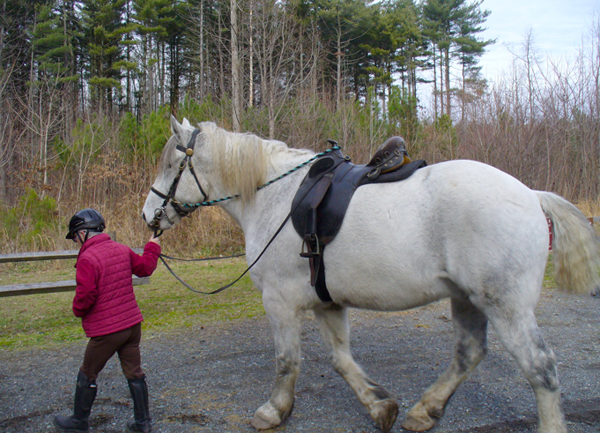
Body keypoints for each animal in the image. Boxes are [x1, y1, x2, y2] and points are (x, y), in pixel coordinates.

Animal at [142, 115, 600, 432]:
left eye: (171, 164)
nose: (148, 215)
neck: (274, 196)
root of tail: (531, 196)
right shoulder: (326, 301)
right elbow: (342, 360)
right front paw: (381, 406)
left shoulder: (280, 302)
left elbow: (287, 360)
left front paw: (274, 410)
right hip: (466, 298)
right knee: (469, 353)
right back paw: (424, 411)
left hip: (505, 306)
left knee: (540, 368)